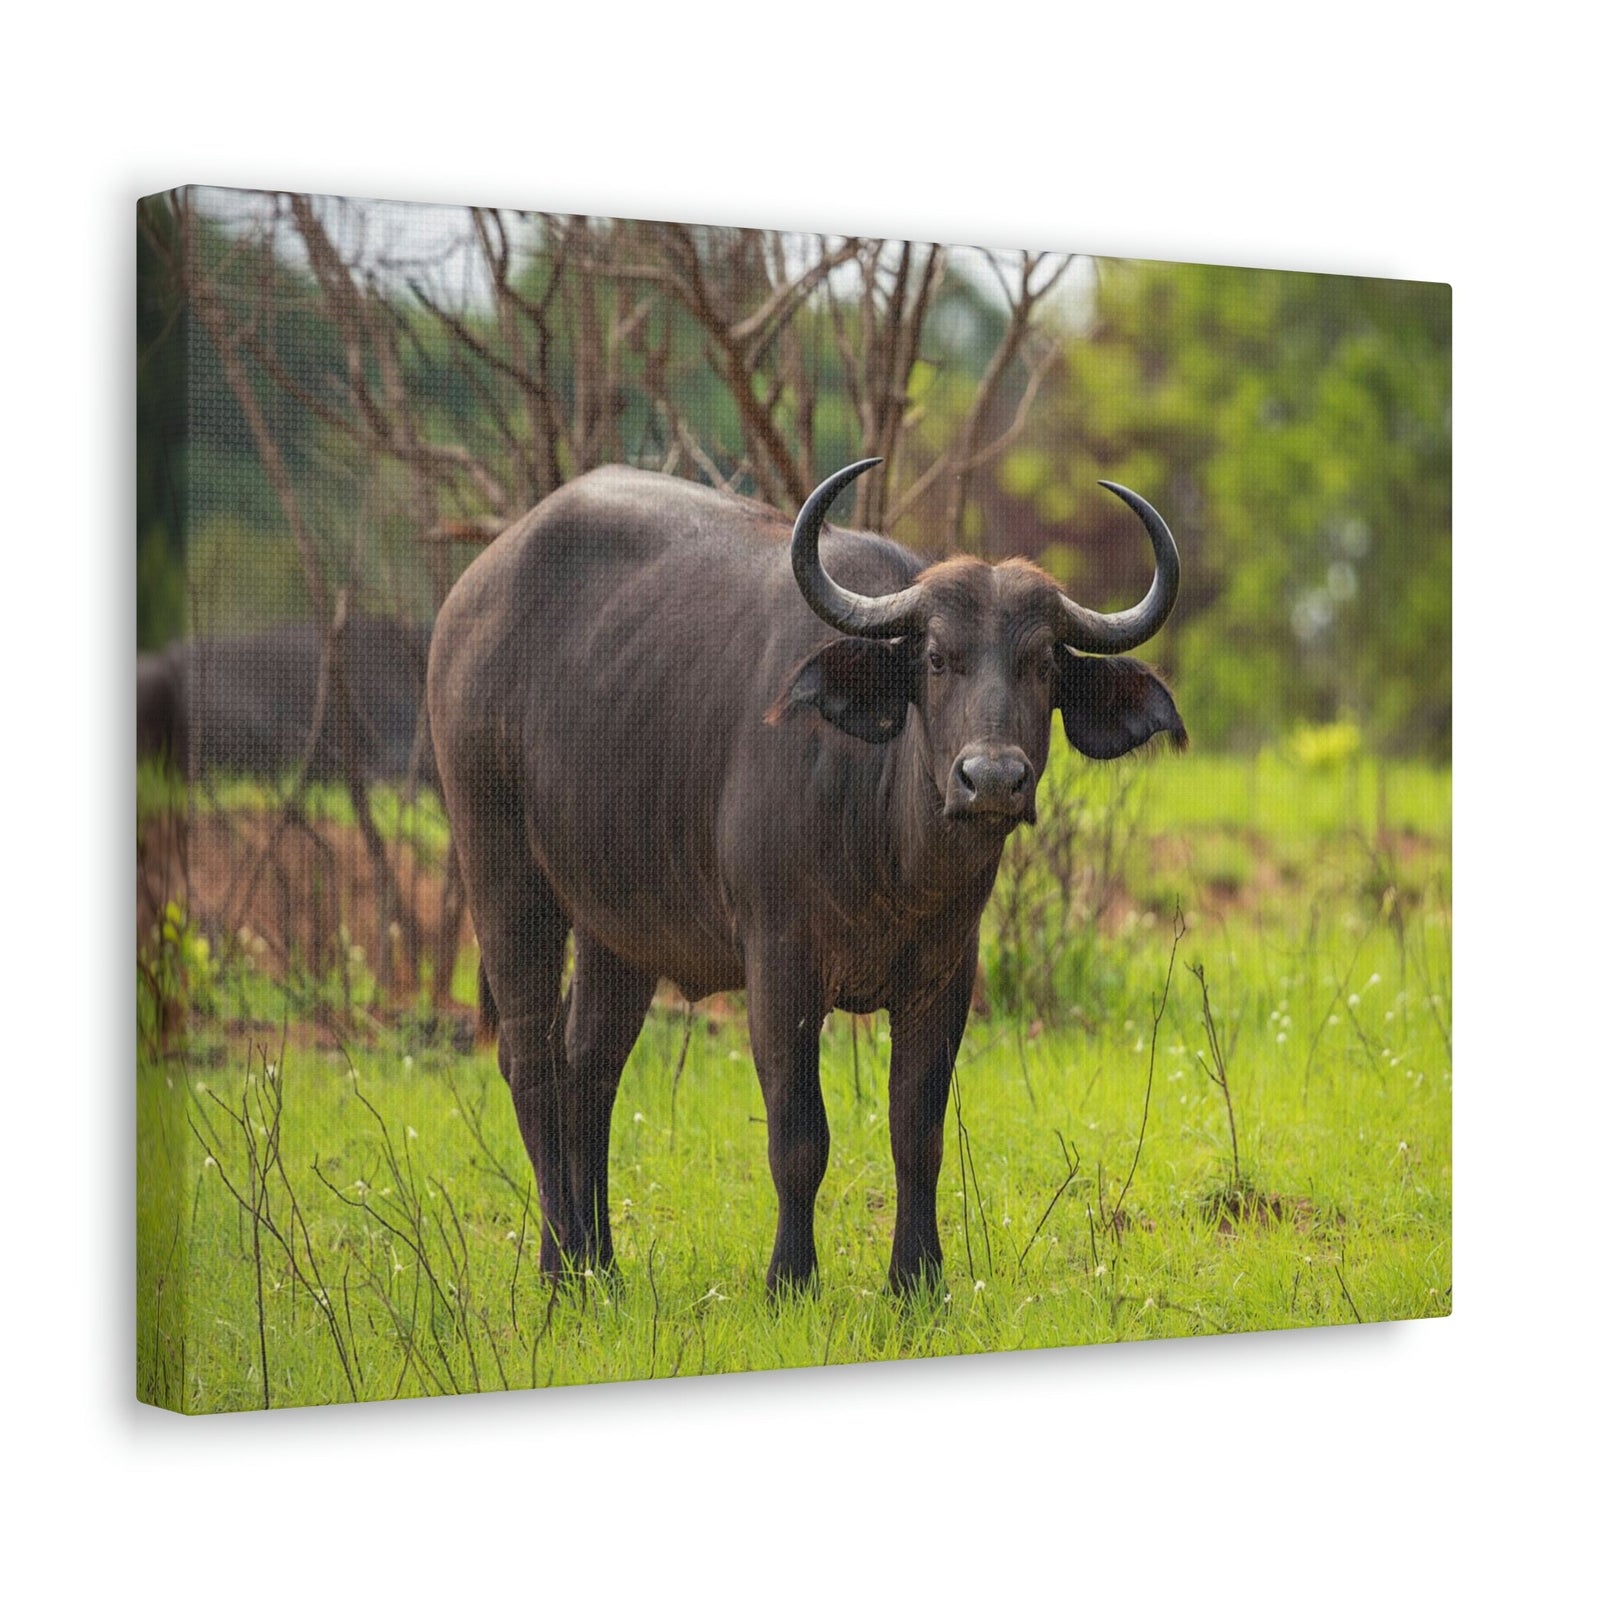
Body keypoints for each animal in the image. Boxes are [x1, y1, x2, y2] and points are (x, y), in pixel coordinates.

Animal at [427, 459, 1185, 1295]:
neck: (892, 854)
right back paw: (562, 1270)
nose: (992, 780)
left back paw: (600, 1267)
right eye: (936, 658)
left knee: (587, 1063)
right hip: (501, 869)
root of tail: (470, 600)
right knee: (529, 1062)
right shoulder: (780, 965)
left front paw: (917, 1280)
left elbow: (917, 1130)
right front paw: (790, 1278)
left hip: (616, 926)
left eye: (1043, 664)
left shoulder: (945, 975)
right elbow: (798, 1134)